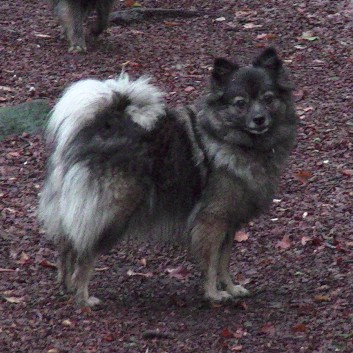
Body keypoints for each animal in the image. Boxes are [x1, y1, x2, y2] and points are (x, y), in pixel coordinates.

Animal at [39, 47, 296, 306]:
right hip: (110, 215)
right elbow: (212, 264)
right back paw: (84, 298)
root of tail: (96, 131)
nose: (259, 119)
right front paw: (214, 294)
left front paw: (232, 289)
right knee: (84, 254)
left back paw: (67, 286)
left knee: (67, 247)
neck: (228, 138)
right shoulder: (212, 221)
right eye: (240, 103)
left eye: (268, 98)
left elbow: (224, 262)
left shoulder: (229, 223)